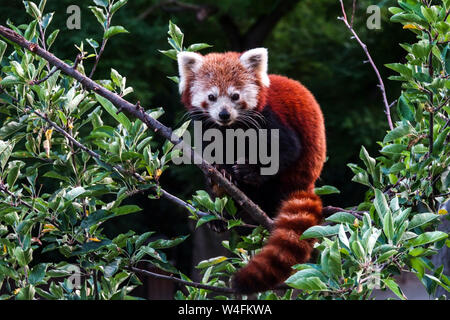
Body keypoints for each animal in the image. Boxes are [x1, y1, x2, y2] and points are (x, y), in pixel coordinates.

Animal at [176, 48, 326, 296]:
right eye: (211, 97)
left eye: (235, 96)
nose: (224, 114)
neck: (230, 128)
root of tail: (307, 183)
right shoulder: (208, 129)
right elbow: (212, 159)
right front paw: (220, 175)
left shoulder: (269, 119)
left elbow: (287, 150)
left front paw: (248, 170)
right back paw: (222, 214)